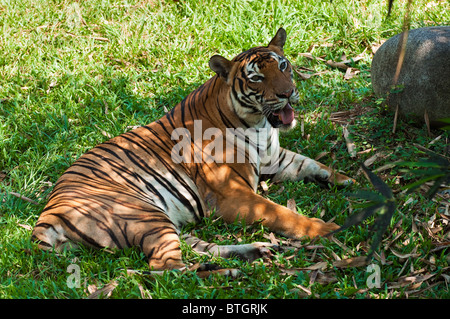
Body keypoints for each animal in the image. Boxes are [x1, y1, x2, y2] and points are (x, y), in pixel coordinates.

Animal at [32, 28, 356, 272]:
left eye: (283, 66)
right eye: (256, 78)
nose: (288, 93)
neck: (260, 125)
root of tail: (47, 216)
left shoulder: (275, 158)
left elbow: (312, 163)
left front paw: (350, 180)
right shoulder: (233, 195)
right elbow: (281, 214)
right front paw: (325, 229)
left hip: (162, 222)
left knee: (195, 249)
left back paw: (249, 253)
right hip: (144, 214)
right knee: (167, 270)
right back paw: (226, 272)